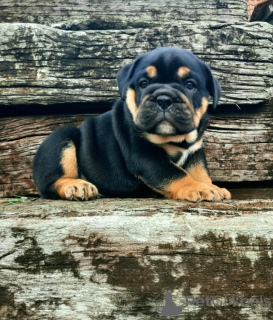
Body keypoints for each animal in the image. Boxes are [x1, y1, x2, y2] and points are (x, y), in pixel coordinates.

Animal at [33, 47, 231, 202]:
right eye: (144, 83)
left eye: (190, 85)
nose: (164, 98)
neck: (177, 139)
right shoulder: (146, 156)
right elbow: (176, 173)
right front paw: (199, 188)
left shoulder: (195, 151)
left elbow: (199, 171)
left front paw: (211, 186)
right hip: (60, 139)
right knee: (50, 183)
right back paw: (76, 185)